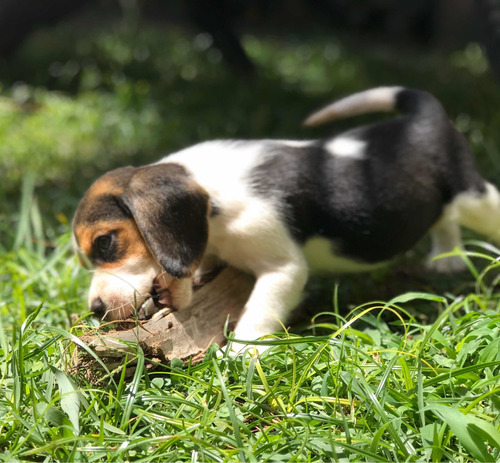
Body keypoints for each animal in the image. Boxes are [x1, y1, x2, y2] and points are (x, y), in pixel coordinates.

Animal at [71, 87, 500, 348]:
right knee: (442, 220)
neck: (213, 203)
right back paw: (446, 259)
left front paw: (241, 355)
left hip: (473, 196)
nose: (95, 310)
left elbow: (259, 311)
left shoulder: (283, 269)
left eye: (106, 242)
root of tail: (423, 118)